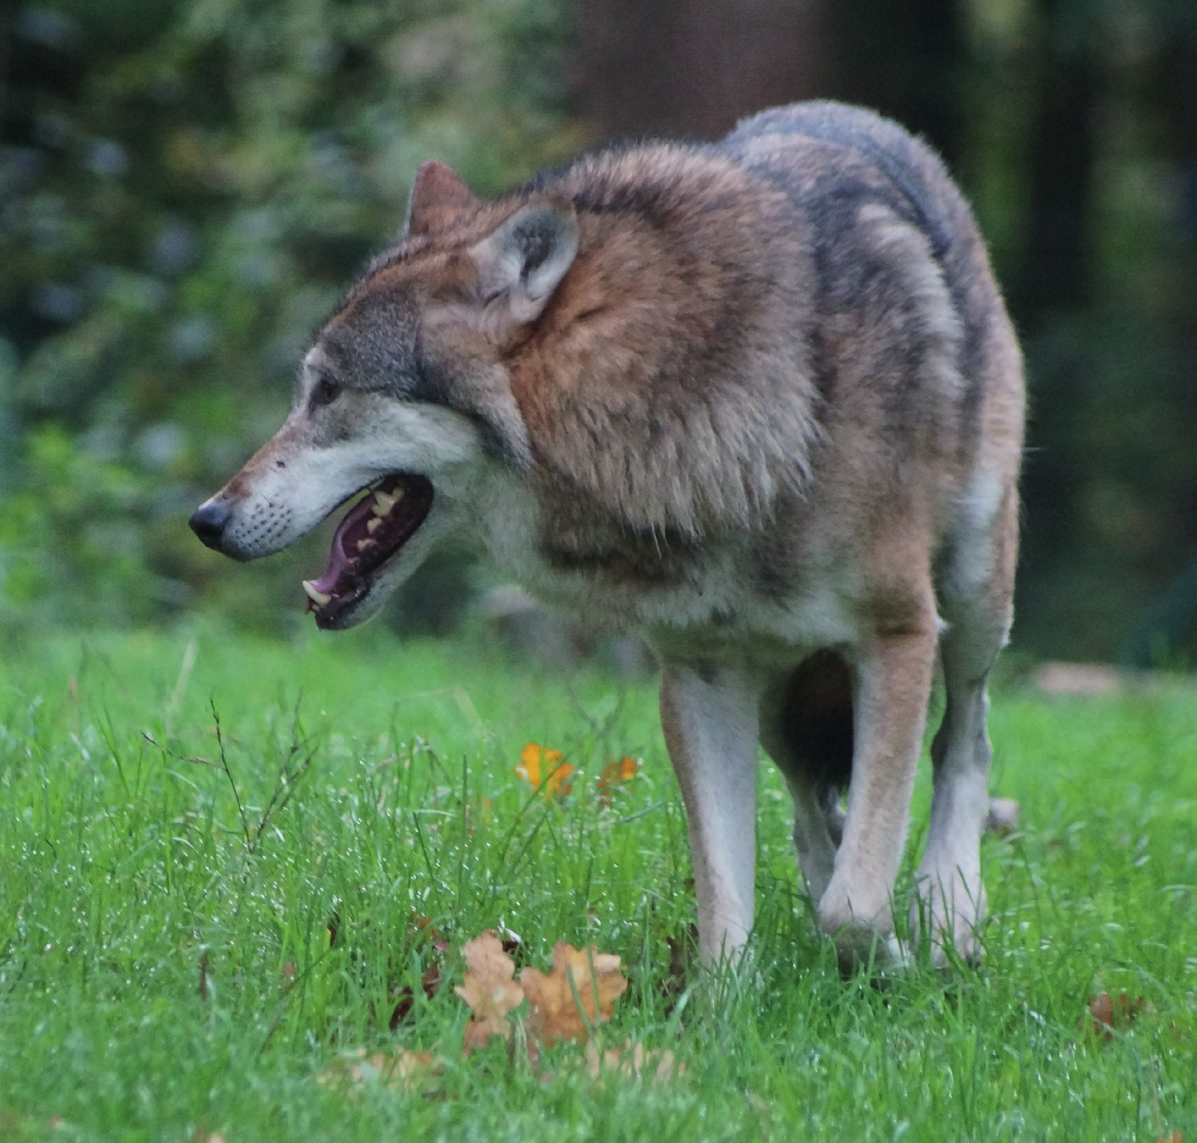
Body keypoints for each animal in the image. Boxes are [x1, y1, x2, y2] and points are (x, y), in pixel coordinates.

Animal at [191, 102, 1024, 971]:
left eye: (327, 391)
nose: (206, 519)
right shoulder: (699, 672)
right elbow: (727, 912)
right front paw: (728, 1005)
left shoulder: (897, 634)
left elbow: (853, 907)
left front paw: (896, 957)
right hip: (779, 685)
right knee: (812, 803)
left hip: (969, 600)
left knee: (964, 742)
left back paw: (948, 910)